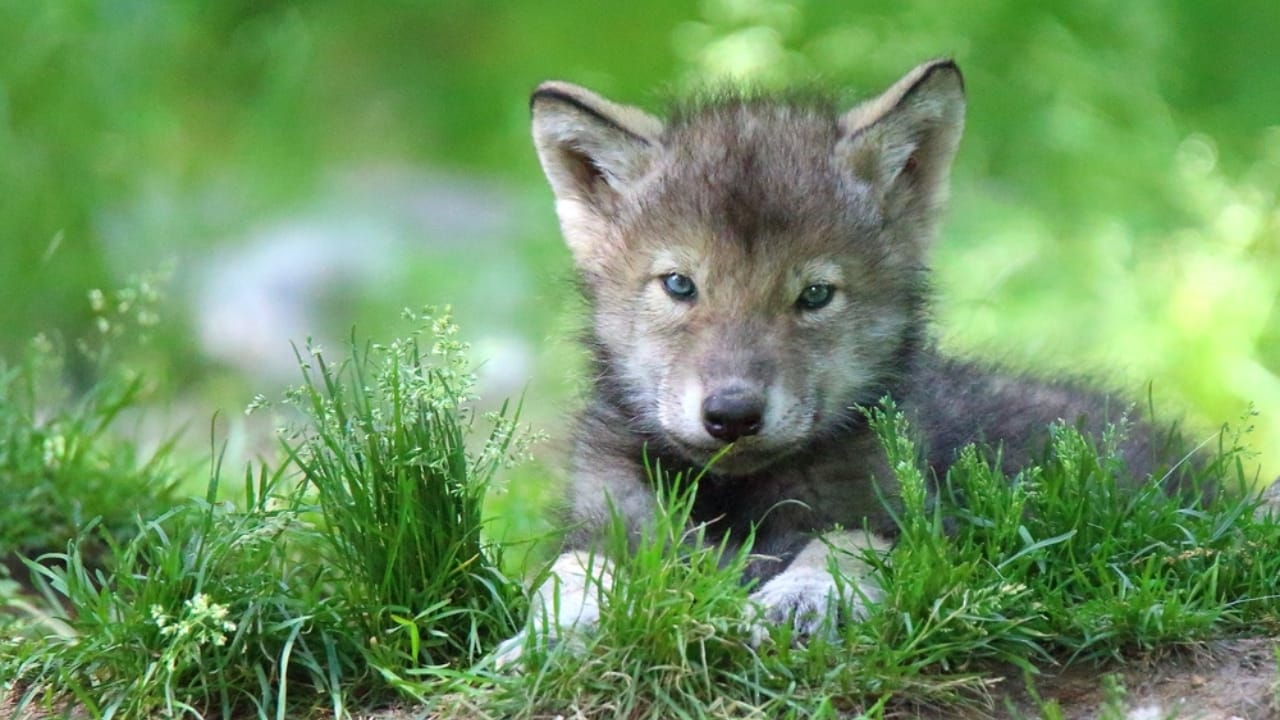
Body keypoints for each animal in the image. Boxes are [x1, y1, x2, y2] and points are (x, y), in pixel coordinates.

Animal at [497, 59, 1180, 662]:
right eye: (680, 285)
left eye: (816, 295)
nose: (732, 415)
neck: (735, 501)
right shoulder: (606, 522)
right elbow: (572, 573)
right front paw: (553, 634)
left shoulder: (911, 520)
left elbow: (843, 546)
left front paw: (798, 602)